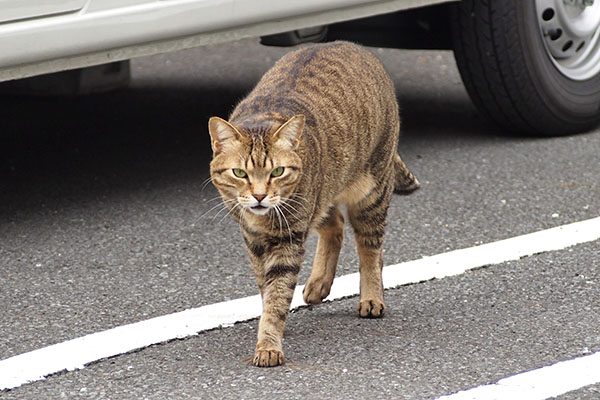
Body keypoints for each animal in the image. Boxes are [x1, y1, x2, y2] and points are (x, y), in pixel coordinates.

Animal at [209, 41, 420, 368]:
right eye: (240, 173)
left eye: (277, 172)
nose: (259, 196)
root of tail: (353, 45)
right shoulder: (252, 238)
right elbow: (266, 287)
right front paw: (272, 320)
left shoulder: (289, 237)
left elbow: (277, 291)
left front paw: (269, 343)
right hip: (323, 193)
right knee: (336, 226)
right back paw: (319, 283)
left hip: (370, 192)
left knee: (370, 249)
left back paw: (372, 298)